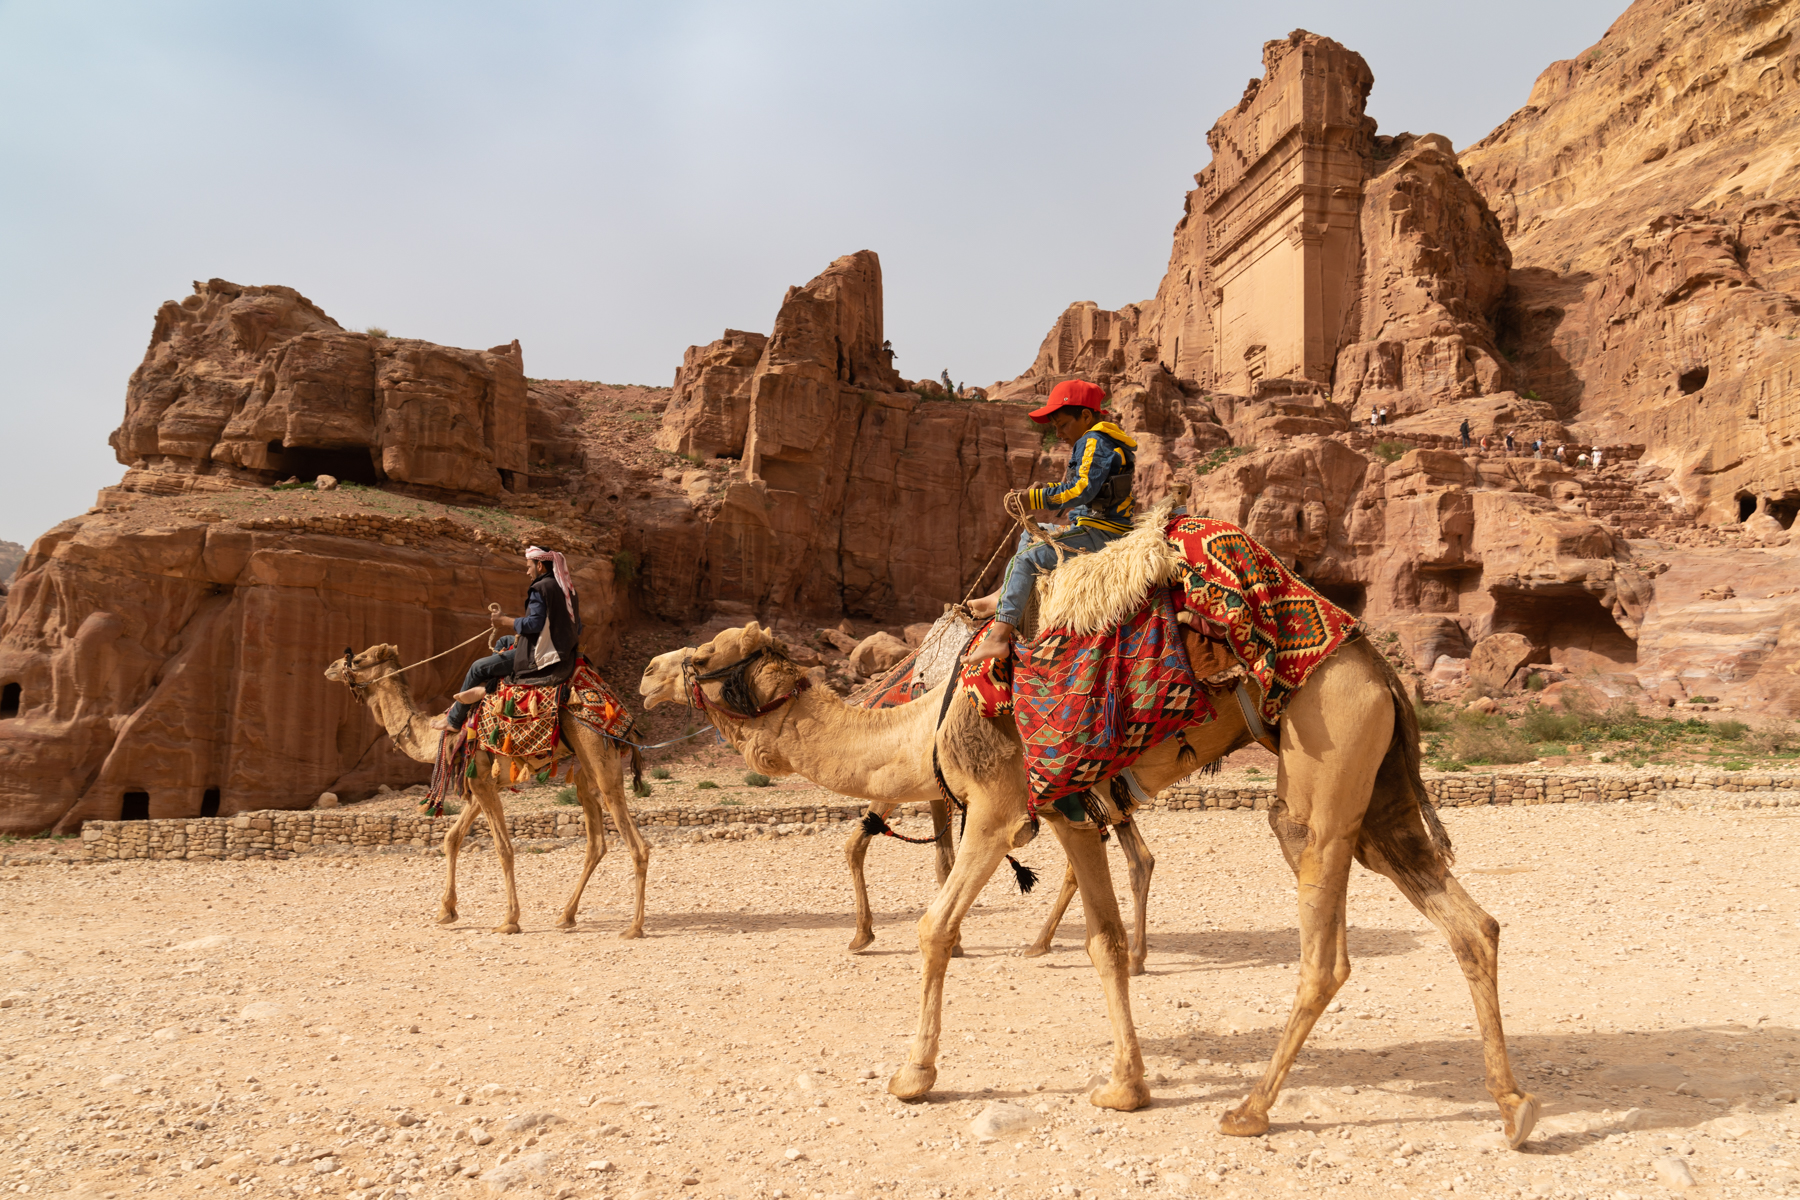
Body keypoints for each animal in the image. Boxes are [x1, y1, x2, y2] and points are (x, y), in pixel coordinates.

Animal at [325, 644, 651, 937]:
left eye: (359, 659)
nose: (330, 667)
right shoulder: (480, 782)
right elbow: (452, 838)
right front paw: (446, 911)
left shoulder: (481, 781)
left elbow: (503, 849)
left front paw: (509, 921)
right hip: (587, 769)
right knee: (596, 841)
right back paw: (566, 916)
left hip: (595, 750)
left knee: (636, 843)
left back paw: (633, 928)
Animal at [638, 621, 1540, 1148]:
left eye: (704, 657)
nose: (643, 674)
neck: (923, 726)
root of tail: (1383, 670)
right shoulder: (1070, 814)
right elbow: (1101, 943)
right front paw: (1125, 1087)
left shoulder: (997, 808)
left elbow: (933, 928)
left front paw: (914, 1076)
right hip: (1377, 786)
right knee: (1472, 924)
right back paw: (1514, 1107)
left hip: (1323, 761)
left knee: (1325, 949)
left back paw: (1250, 1110)